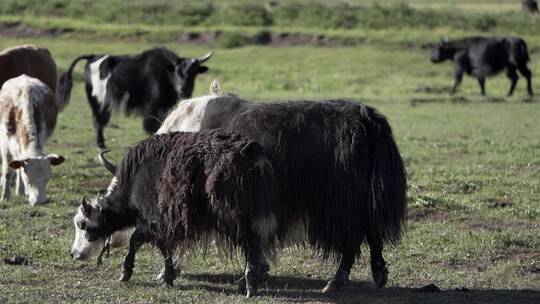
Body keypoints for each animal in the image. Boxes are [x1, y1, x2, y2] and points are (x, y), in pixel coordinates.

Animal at [0, 75, 65, 205]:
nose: (40, 201)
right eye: (28, 180)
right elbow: (7, 171)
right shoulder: (4, 144)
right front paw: (5, 196)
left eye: (47, 179)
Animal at [57, 46, 213, 150]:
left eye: (194, 73)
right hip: (97, 100)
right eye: (177, 71)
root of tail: (93, 57)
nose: (184, 91)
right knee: (98, 121)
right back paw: (101, 145)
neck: (165, 75)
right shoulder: (151, 106)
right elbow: (151, 125)